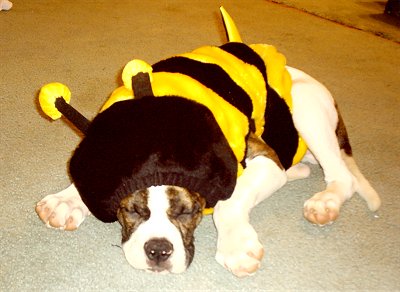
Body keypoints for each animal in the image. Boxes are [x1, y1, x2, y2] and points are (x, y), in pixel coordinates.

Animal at [35, 7, 382, 278]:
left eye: (187, 213)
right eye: (132, 211)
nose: (158, 250)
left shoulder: (263, 158)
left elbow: (232, 200)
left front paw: (236, 245)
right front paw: (68, 199)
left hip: (305, 108)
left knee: (341, 176)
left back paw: (326, 202)